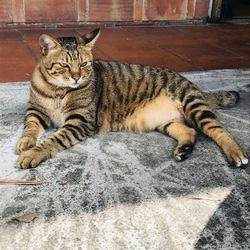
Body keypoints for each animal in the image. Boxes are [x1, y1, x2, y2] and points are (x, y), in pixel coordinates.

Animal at [16, 28, 248, 169]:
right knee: (189, 131)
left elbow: (53, 139)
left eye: (84, 64)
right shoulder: (36, 111)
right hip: (167, 122)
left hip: (194, 105)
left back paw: (236, 153)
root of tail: (190, 82)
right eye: (64, 65)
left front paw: (32, 153)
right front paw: (25, 142)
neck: (59, 91)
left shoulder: (79, 122)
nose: (76, 77)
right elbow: (31, 127)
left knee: (219, 129)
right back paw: (184, 149)